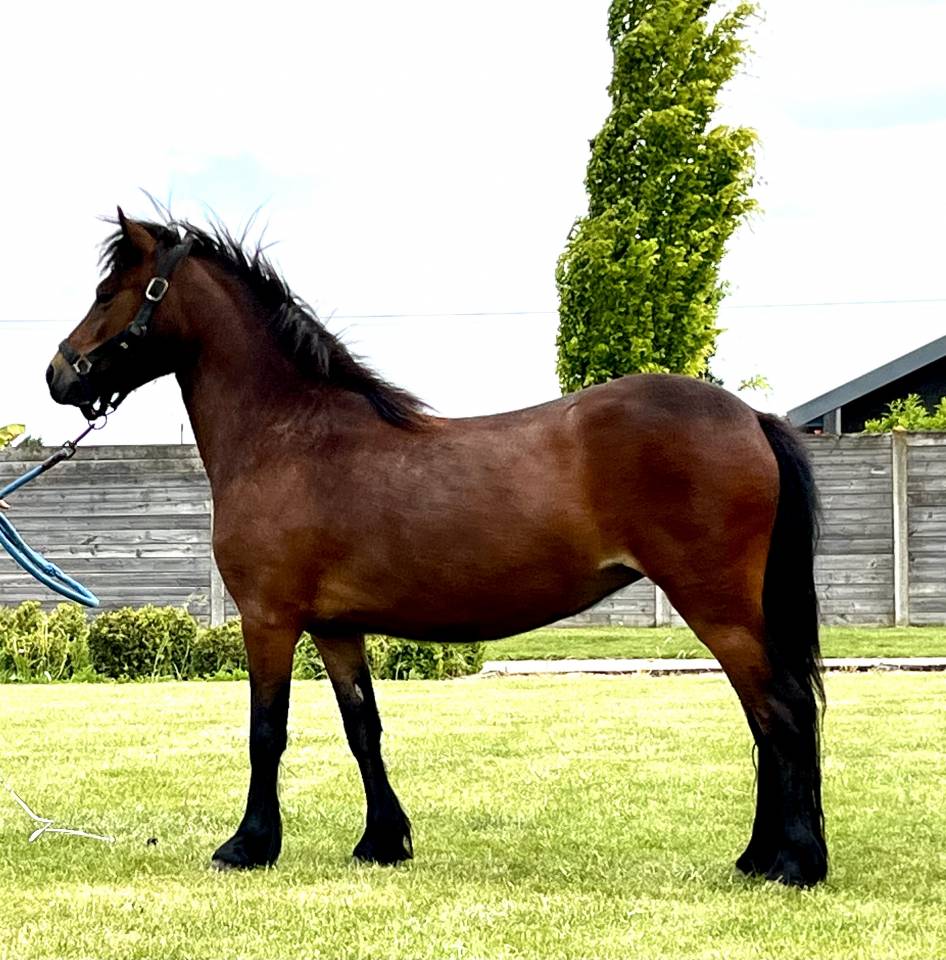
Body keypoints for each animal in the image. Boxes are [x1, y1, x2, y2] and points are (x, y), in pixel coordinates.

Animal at [46, 210, 827, 887]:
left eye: (108, 293)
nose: (58, 373)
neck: (289, 436)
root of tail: (751, 418)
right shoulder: (335, 628)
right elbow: (363, 728)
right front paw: (382, 841)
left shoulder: (268, 620)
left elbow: (266, 732)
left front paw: (248, 845)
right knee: (766, 721)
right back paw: (759, 858)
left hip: (717, 606)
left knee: (781, 713)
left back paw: (793, 864)